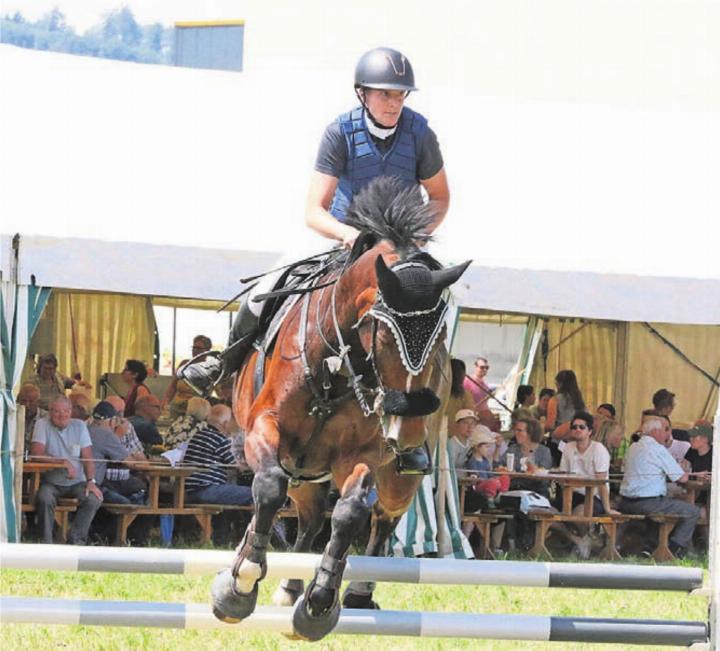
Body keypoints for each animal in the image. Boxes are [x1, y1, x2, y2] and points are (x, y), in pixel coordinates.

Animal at [211, 177, 470, 640]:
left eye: (441, 336)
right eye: (382, 333)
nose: (405, 429)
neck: (335, 363)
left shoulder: (361, 453)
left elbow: (351, 512)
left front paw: (319, 602)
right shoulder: (265, 427)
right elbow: (269, 487)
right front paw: (239, 585)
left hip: (393, 476)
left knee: (383, 518)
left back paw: (355, 592)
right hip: (303, 468)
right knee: (306, 513)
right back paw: (282, 585)